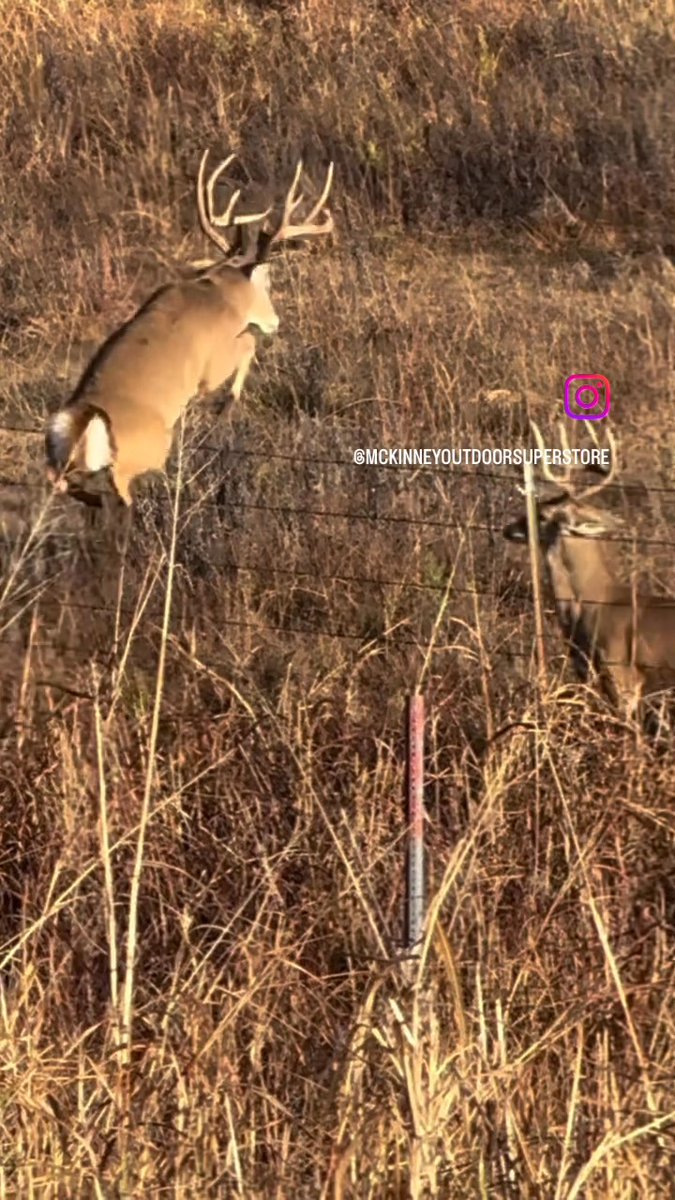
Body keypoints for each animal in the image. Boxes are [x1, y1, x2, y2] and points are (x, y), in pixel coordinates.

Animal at [45, 151, 334, 508]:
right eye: (267, 283)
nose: (275, 321)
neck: (221, 291)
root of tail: (87, 423)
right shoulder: (212, 366)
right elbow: (247, 345)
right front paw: (228, 403)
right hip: (144, 453)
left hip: (62, 460)